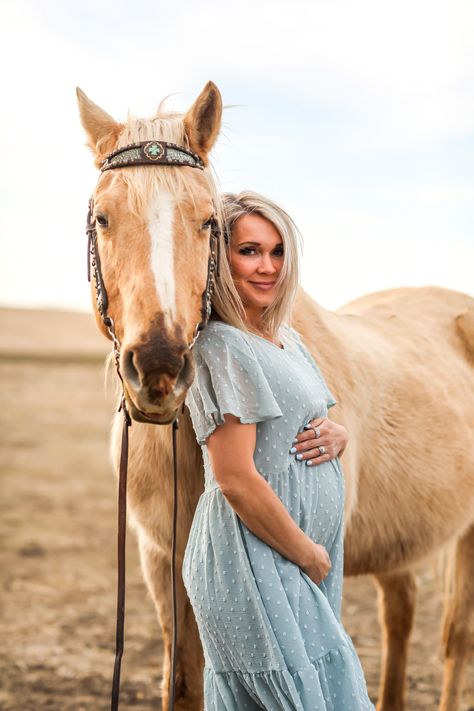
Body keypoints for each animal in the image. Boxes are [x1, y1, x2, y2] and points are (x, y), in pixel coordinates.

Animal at [78, 83, 474, 711]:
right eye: (103, 216)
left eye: (207, 221)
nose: (159, 368)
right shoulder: (162, 564)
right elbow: (182, 682)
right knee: (401, 612)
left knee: (456, 639)